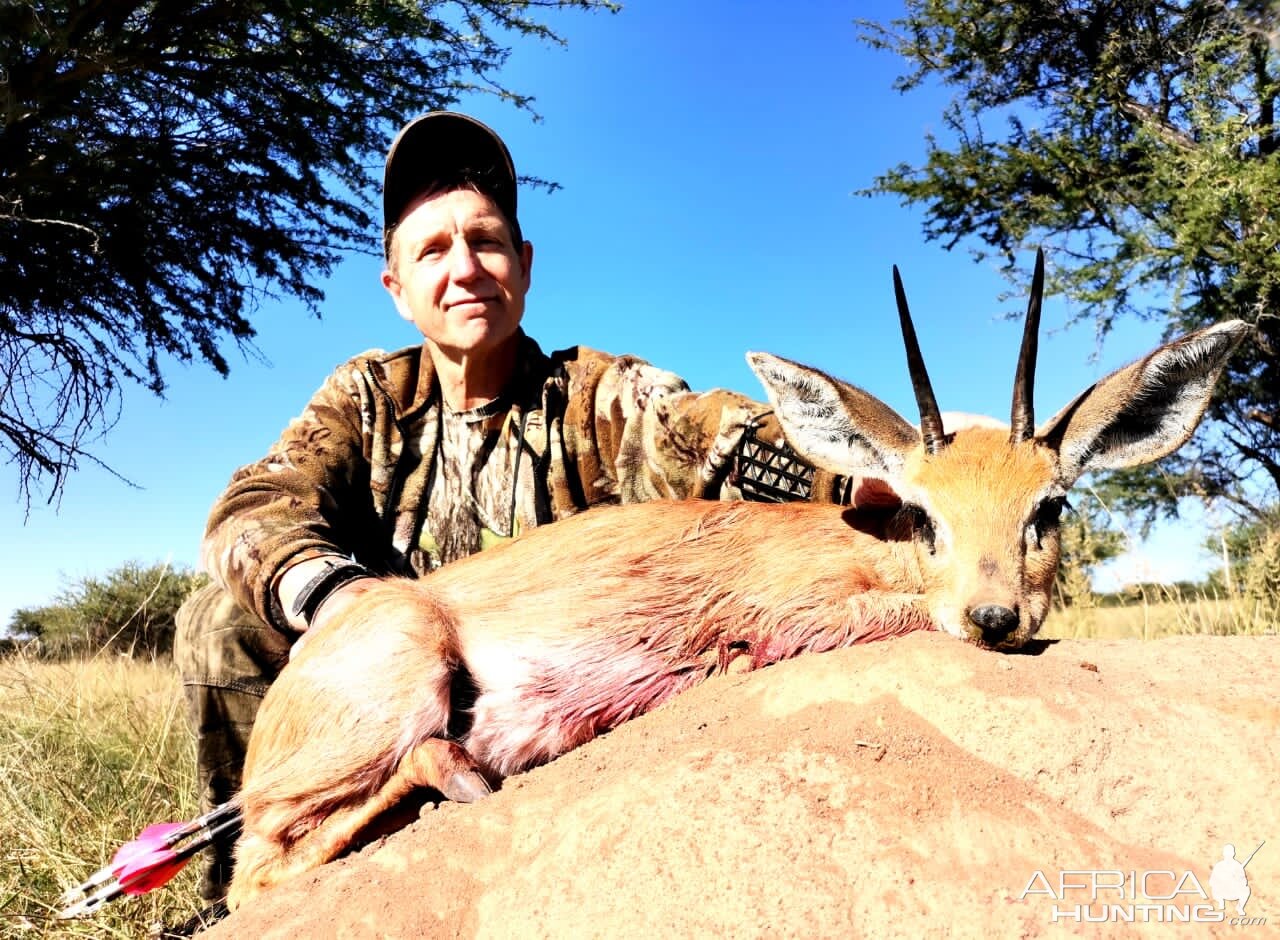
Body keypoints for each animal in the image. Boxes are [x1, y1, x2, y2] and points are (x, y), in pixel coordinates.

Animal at [227, 253, 1249, 911]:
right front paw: (731, 659)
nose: (994, 614)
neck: (869, 543)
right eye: (924, 513)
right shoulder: (810, 608)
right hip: (399, 680)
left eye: (1050, 506)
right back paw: (463, 773)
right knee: (258, 866)